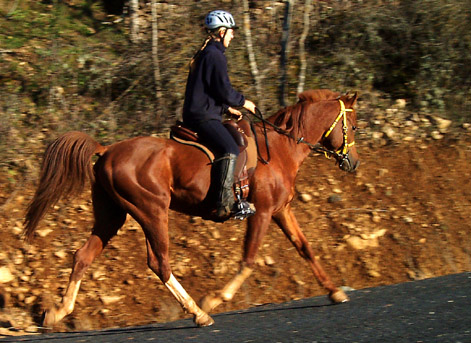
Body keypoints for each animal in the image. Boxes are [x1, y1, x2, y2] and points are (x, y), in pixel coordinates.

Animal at [24, 88, 360, 328]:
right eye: (354, 126)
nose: (353, 163)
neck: (279, 149)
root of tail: (107, 150)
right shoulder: (263, 212)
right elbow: (249, 260)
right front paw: (215, 298)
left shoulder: (281, 211)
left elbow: (305, 248)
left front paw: (335, 291)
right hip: (152, 211)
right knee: (159, 263)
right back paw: (199, 312)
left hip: (112, 216)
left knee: (83, 256)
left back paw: (57, 313)